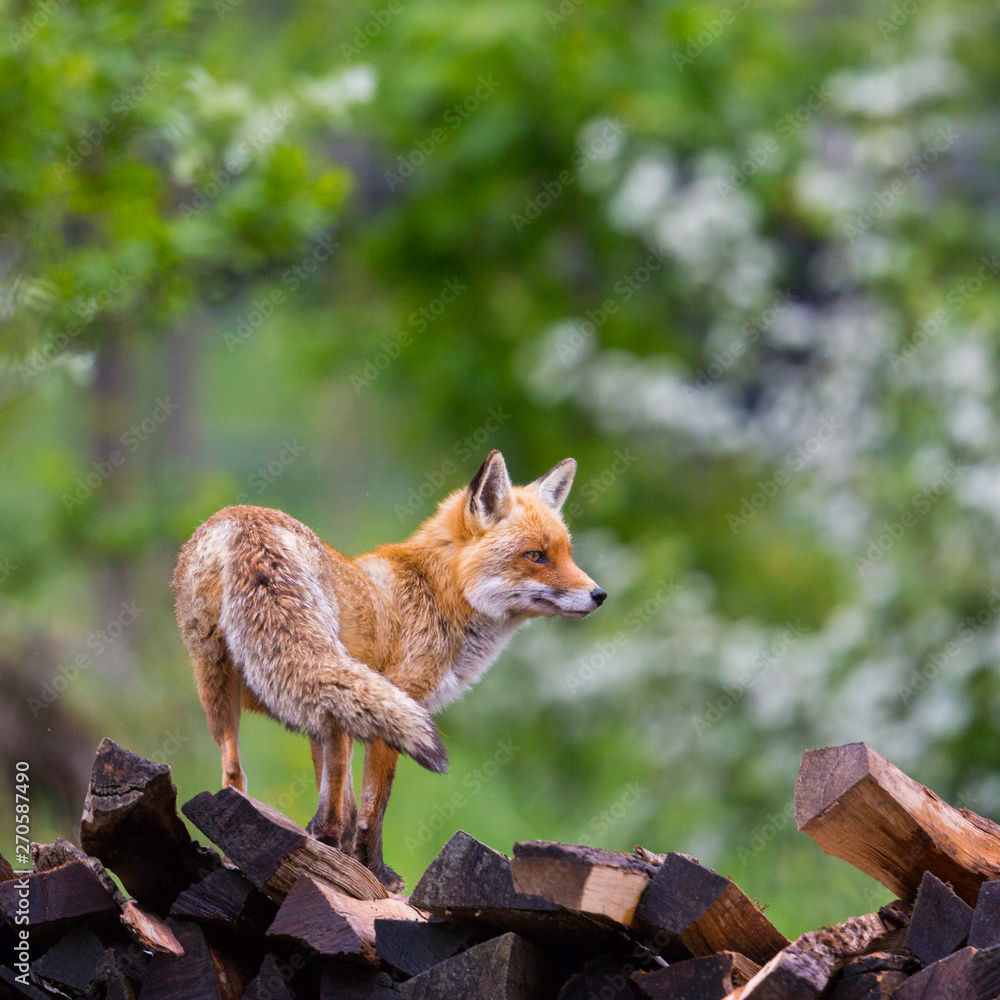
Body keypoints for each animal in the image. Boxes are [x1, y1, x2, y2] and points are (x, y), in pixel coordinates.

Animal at [171, 449, 605, 889]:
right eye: (536, 556)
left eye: (567, 554)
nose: (599, 595)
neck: (437, 593)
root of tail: (244, 518)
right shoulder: (399, 701)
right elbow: (372, 806)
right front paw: (372, 869)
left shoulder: (332, 714)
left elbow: (343, 800)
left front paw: (340, 856)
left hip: (221, 682)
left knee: (234, 775)